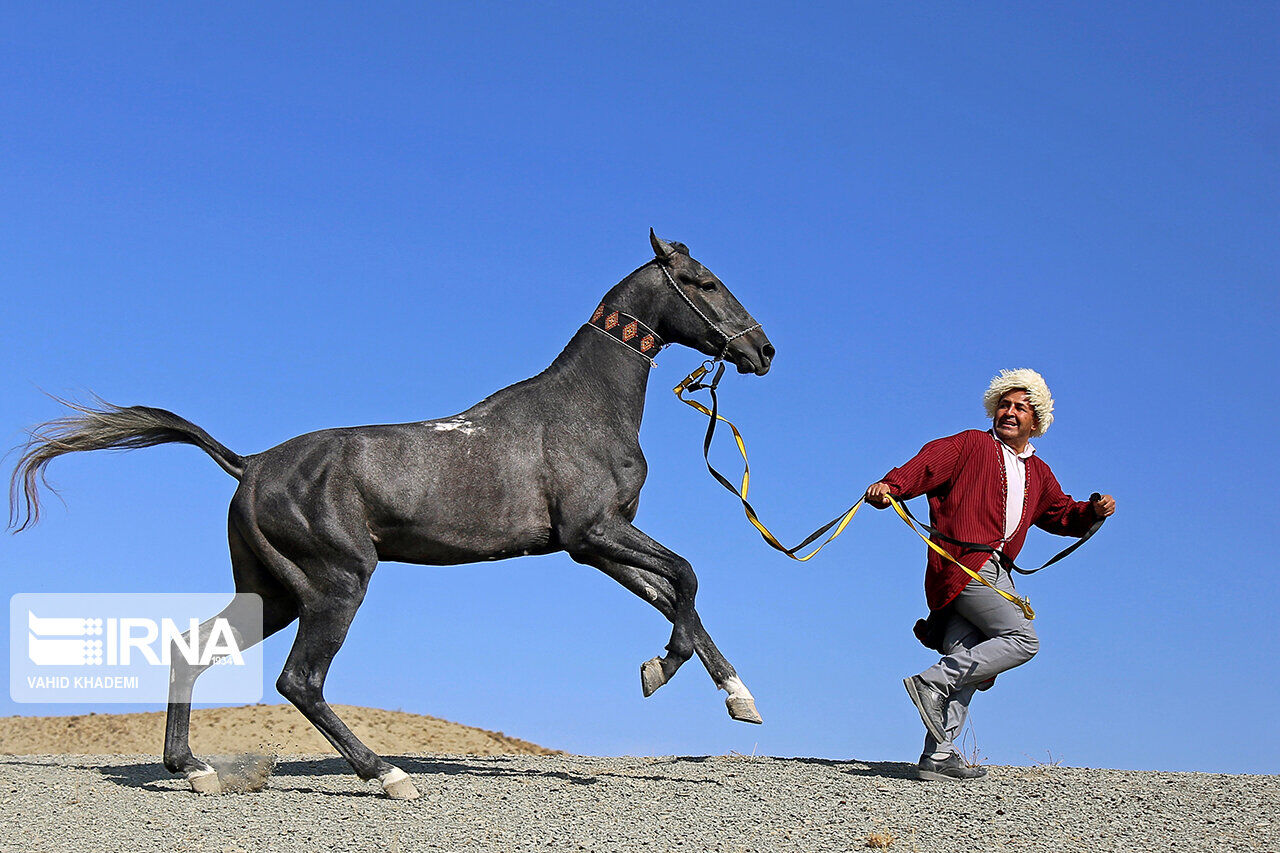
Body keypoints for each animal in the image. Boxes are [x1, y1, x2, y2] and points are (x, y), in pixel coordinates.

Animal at [10, 229, 773, 794]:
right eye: (704, 281)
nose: (763, 349)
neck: (583, 408)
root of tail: (251, 464)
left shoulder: (595, 546)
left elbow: (676, 595)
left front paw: (736, 696)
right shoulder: (594, 532)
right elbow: (688, 576)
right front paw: (662, 670)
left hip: (273, 592)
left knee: (189, 648)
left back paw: (195, 770)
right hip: (336, 583)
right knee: (300, 680)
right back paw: (386, 774)